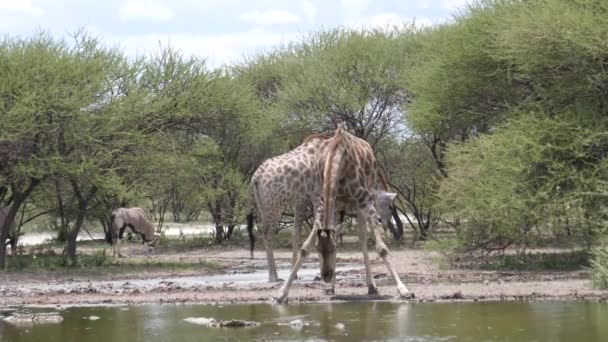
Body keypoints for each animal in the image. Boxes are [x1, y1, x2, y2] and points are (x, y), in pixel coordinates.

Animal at [249, 134, 396, 284]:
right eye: (390, 207)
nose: (385, 226)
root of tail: (256, 177)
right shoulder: (318, 196)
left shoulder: (301, 201)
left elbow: (298, 233)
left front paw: (295, 274)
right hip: (275, 207)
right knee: (267, 233)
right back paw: (274, 276)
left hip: (264, 207)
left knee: (265, 232)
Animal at [276, 123, 414, 304]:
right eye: (318, 249)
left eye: (333, 248)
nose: (326, 275)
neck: (337, 158)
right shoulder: (325, 202)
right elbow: (304, 248)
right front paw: (282, 293)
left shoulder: (364, 200)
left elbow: (381, 248)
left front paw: (404, 290)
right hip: (330, 205)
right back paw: (333, 287)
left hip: (358, 204)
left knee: (363, 239)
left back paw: (371, 286)